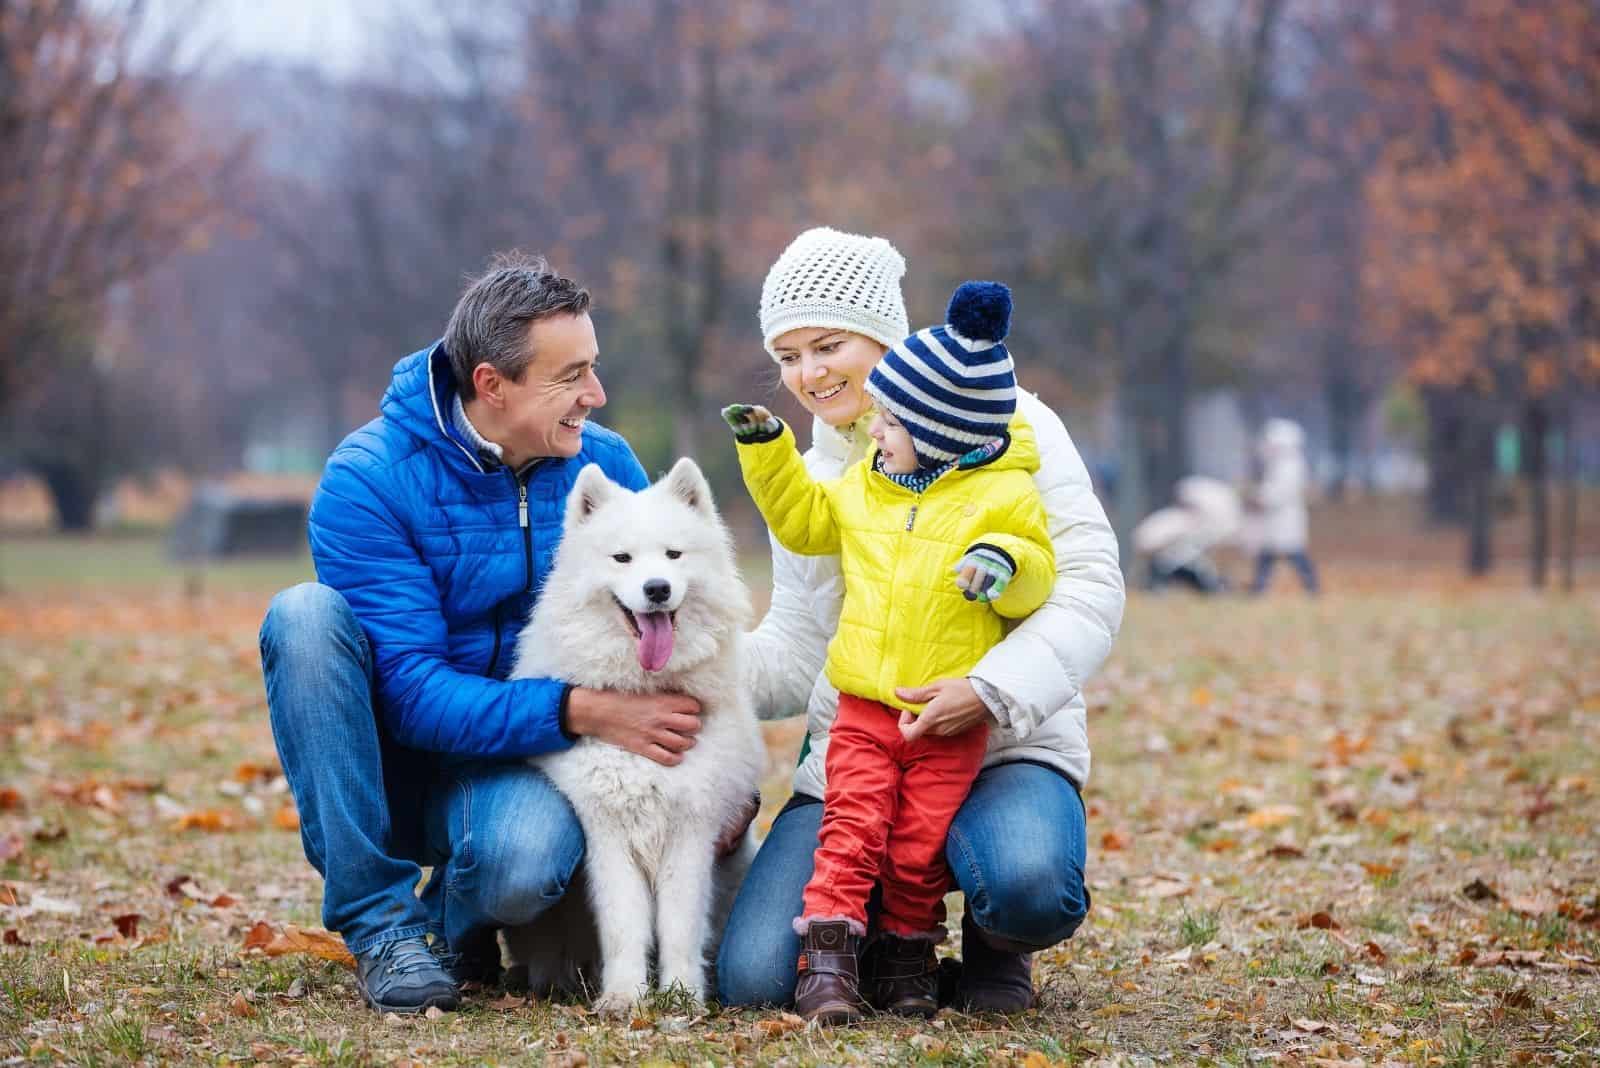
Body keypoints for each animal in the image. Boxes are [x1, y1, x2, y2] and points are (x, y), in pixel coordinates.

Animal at [505, 460, 768, 1016]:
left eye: (673, 555)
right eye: (622, 558)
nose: (657, 589)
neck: (645, 691)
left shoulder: (690, 831)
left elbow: (678, 928)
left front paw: (682, 996)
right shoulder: (607, 832)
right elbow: (625, 925)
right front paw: (625, 996)